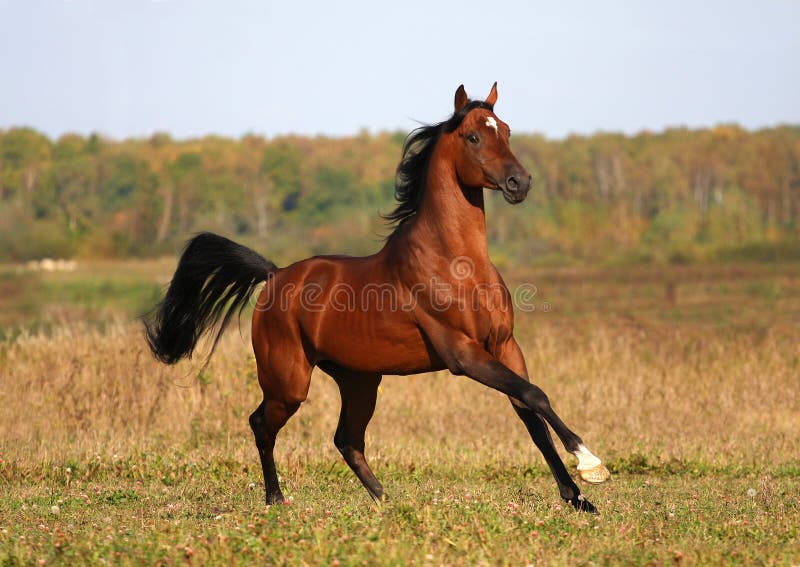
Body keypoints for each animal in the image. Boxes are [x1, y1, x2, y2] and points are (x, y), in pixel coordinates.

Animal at [144, 83, 608, 516]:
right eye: (474, 136)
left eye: (507, 130)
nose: (520, 183)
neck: (456, 263)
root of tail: (275, 276)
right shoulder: (464, 354)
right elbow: (535, 396)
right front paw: (591, 464)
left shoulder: (505, 346)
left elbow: (530, 411)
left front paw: (577, 497)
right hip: (289, 383)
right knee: (262, 425)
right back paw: (277, 500)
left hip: (359, 380)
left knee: (346, 439)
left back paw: (387, 501)